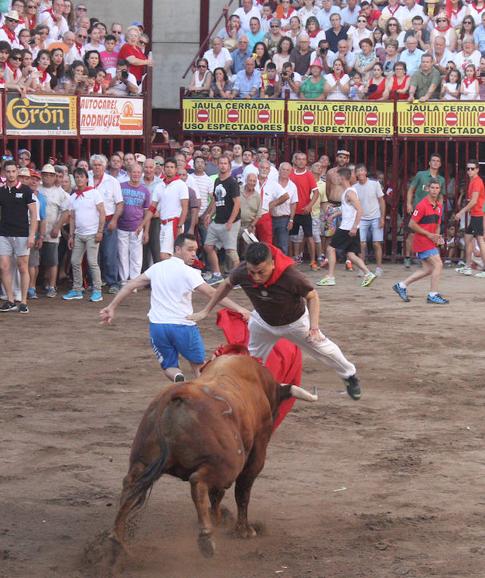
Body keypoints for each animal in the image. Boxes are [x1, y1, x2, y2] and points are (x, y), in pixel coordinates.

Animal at [108, 348, 316, 560]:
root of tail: (178, 395)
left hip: (142, 460)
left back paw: (117, 542)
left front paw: (218, 517)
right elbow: (242, 491)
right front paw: (244, 530)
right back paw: (206, 538)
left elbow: (217, 494)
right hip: (228, 464)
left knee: (130, 485)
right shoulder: (257, 452)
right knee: (198, 482)